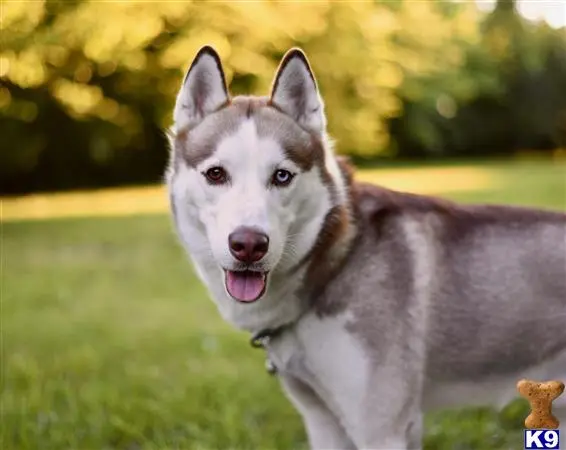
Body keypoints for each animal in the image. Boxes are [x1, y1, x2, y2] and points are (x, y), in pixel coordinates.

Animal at [168, 44, 566, 448]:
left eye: (281, 176)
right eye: (216, 174)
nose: (249, 244)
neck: (334, 262)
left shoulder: (382, 427)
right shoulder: (321, 421)